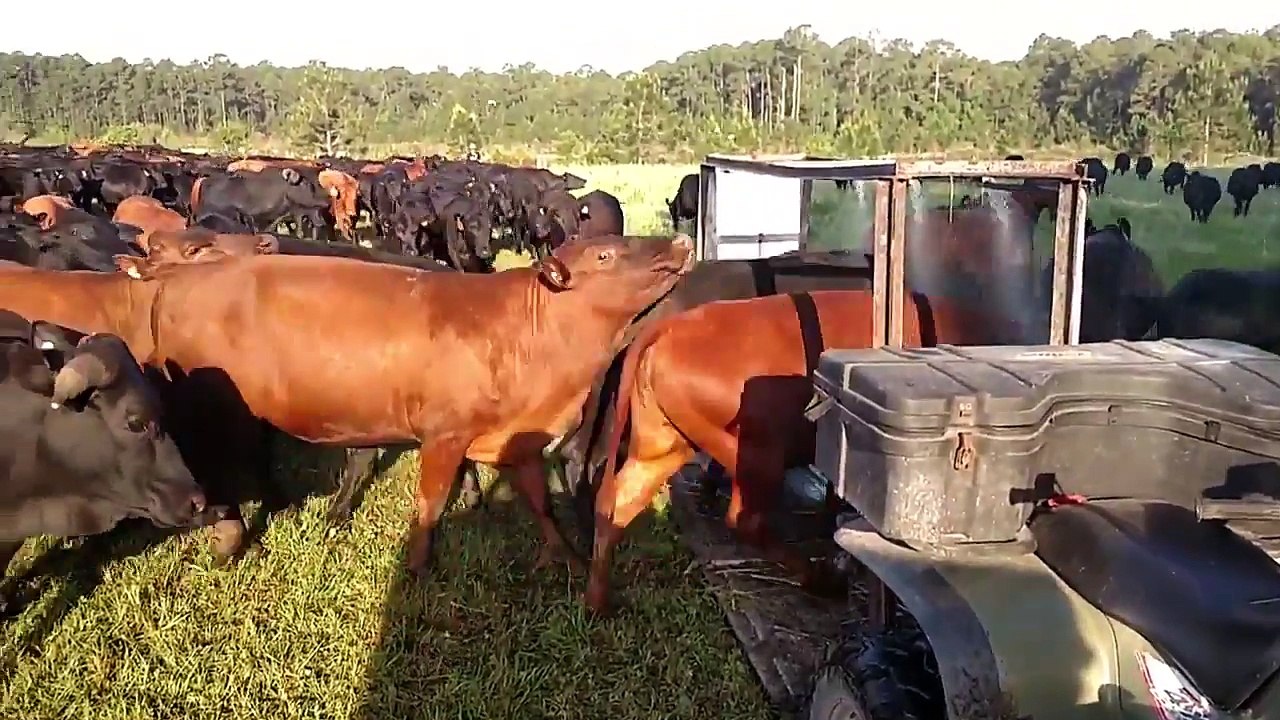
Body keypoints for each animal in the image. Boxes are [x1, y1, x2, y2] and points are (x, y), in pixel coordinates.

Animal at [581, 289, 1017, 615]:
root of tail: (667, 326)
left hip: (663, 444)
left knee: (616, 503)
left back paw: (598, 602)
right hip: (757, 453)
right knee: (745, 519)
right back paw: (821, 581)